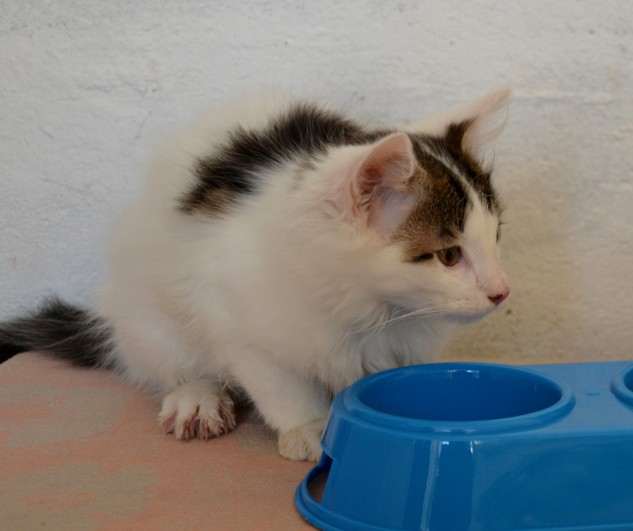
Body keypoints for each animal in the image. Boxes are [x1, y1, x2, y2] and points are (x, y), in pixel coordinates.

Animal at [0, 88, 510, 461]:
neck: (371, 307)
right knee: (166, 364)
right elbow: (277, 381)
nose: (501, 292)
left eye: (496, 236)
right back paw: (196, 397)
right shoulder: (232, 316)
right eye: (449, 255)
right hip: (147, 310)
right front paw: (309, 426)